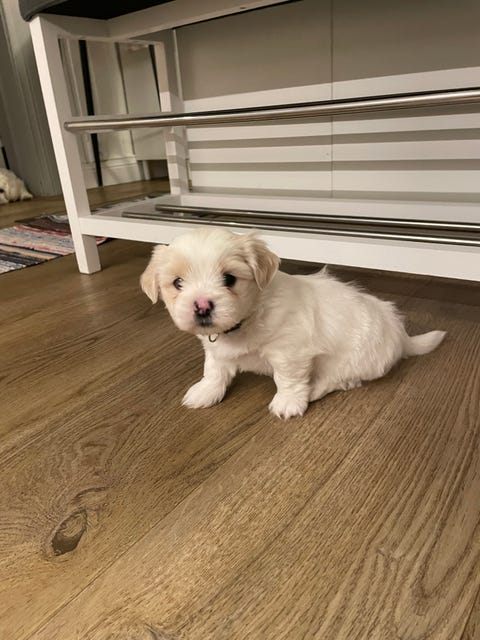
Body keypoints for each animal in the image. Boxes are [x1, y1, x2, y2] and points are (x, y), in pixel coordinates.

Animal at [140, 227, 445, 418]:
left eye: (229, 279)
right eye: (177, 283)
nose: (202, 305)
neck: (245, 322)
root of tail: (401, 336)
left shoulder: (290, 352)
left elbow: (287, 378)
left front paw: (288, 402)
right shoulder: (217, 350)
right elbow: (214, 370)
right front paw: (205, 391)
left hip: (352, 359)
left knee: (341, 379)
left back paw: (315, 389)